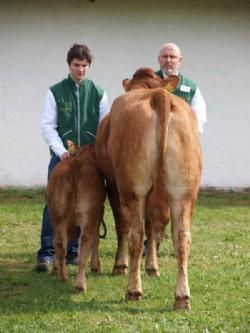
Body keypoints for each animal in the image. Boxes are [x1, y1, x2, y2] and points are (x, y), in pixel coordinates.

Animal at [47, 144, 106, 292]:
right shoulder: (99, 212)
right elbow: (96, 238)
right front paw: (96, 266)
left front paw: (56, 267)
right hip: (89, 214)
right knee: (85, 242)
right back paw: (80, 284)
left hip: (57, 213)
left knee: (58, 241)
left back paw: (62, 275)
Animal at [94, 67, 202, 308]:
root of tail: (158, 95)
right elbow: (153, 227)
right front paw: (153, 267)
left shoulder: (113, 184)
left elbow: (124, 226)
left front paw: (120, 265)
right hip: (184, 191)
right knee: (182, 236)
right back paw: (182, 297)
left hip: (132, 188)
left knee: (134, 232)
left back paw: (133, 290)